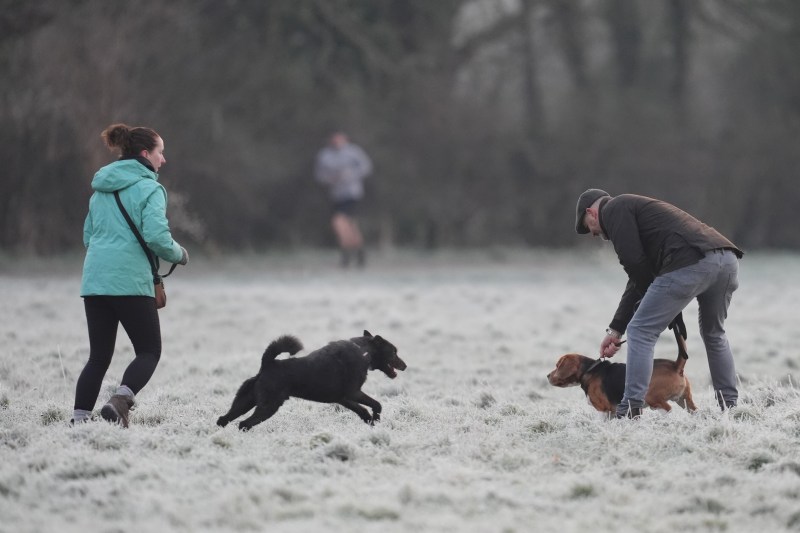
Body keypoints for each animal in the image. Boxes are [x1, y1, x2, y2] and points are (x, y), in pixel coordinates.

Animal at [216, 330, 406, 430]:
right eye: (394, 352)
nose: (405, 366)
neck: (363, 352)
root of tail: (268, 364)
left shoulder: (344, 398)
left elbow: (363, 410)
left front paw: (370, 423)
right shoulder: (354, 392)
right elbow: (376, 404)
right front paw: (376, 420)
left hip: (244, 401)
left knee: (223, 419)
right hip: (268, 405)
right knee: (244, 423)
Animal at [548, 326, 696, 414]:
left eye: (557, 365)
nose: (547, 376)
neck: (589, 370)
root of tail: (676, 365)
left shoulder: (604, 410)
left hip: (653, 398)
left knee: (668, 409)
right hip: (685, 401)